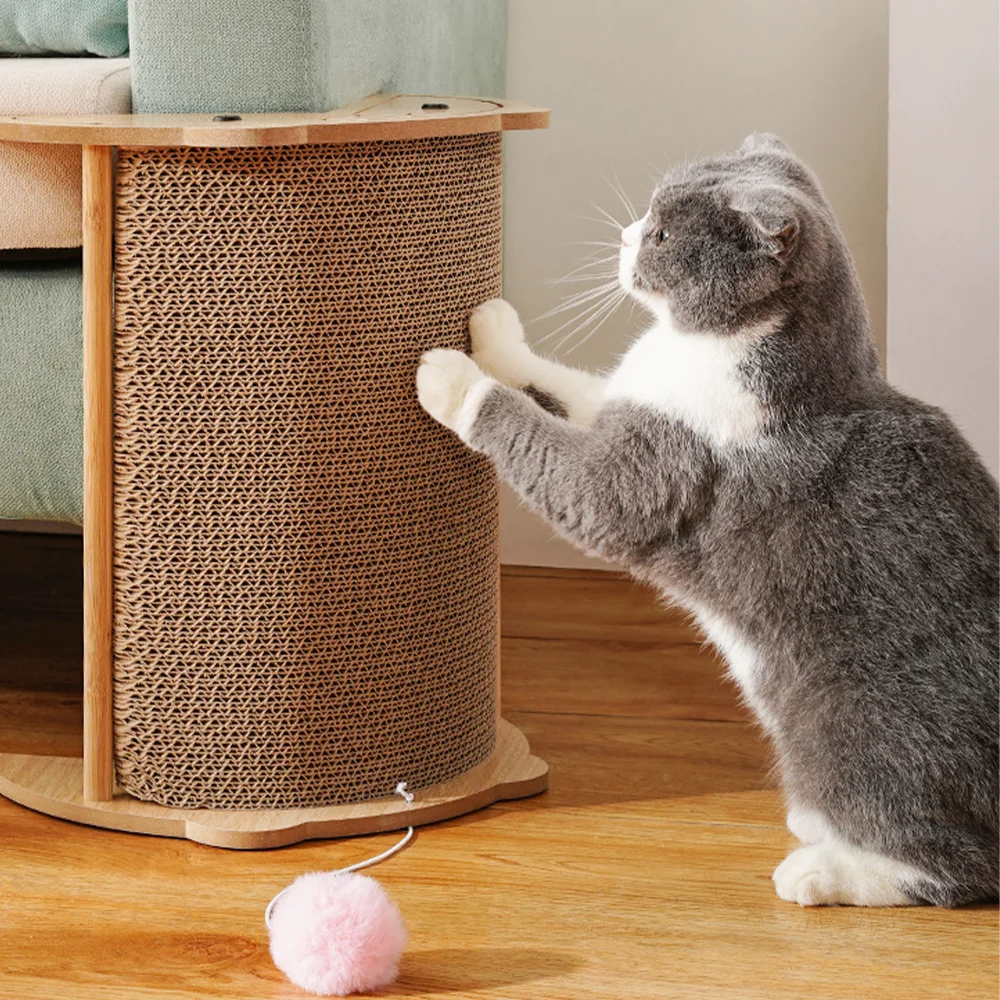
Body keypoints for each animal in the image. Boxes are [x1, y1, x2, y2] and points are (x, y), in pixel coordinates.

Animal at [415, 133, 999, 908]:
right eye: (649, 216)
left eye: (663, 234)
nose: (626, 233)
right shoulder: (627, 405)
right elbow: (564, 386)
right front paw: (494, 332)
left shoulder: (636, 478)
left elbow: (535, 438)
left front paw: (451, 377)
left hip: (847, 725)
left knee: (955, 862)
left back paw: (823, 868)